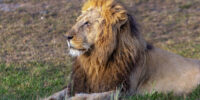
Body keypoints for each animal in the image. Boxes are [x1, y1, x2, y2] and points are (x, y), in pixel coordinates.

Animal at [45, 0, 200, 99]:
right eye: (78, 21)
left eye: (87, 23)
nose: (67, 36)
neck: (95, 60)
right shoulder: (80, 84)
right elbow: (59, 93)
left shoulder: (124, 91)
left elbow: (96, 96)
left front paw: (77, 98)